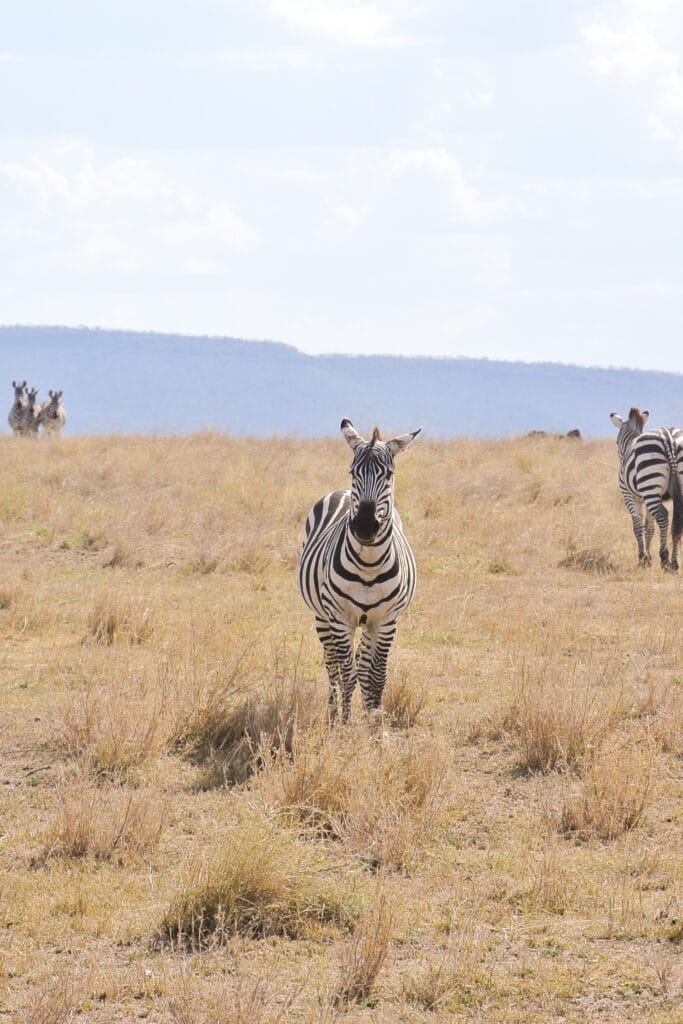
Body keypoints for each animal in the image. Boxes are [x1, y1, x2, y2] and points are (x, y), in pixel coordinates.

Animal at [298, 418, 421, 723]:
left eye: (388, 474)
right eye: (353, 472)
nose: (364, 526)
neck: (369, 565)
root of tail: (341, 492)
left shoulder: (386, 621)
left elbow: (376, 677)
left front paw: (374, 724)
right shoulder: (340, 618)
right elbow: (347, 675)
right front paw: (344, 724)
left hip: (368, 623)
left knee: (363, 667)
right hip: (323, 617)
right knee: (332, 668)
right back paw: (332, 717)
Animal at [610, 407, 683, 571]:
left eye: (616, 442)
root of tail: (669, 438)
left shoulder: (630, 497)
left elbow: (637, 526)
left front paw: (643, 558)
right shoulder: (650, 497)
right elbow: (649, 527)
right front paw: (648, 558)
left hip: (650, 483)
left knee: (663, 516)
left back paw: (665, 558)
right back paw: (675, 562)